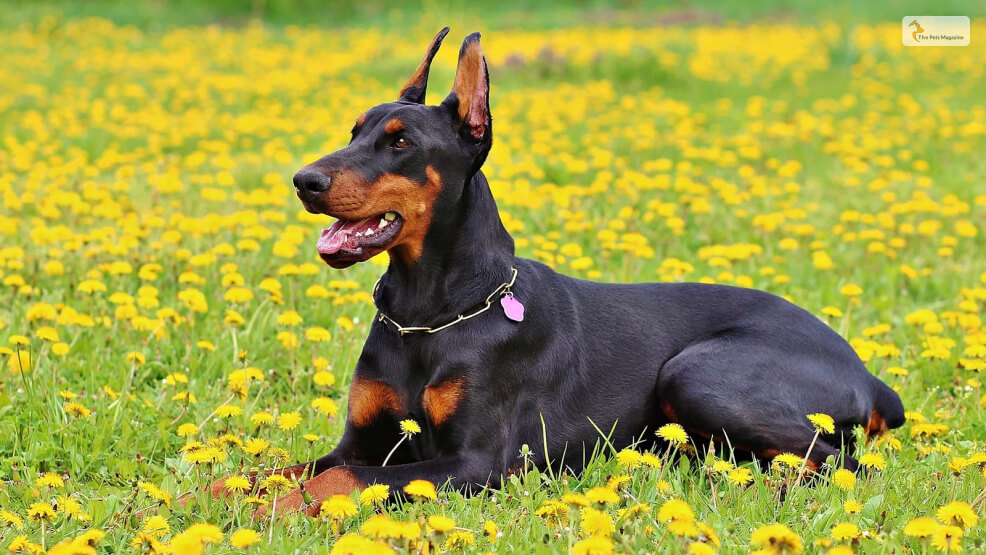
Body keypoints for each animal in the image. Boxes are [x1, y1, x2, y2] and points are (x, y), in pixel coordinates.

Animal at [209, 29, 908, 516]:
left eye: (400, 142)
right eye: (353, 131)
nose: (304, 181)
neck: (429, 312)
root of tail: (868, 375)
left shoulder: (474, 464)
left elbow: (338, 480)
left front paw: (269, 514)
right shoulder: (362, 440)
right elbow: (269, 471)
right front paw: (206, 498)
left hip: (699, 373)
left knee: (840, 463)